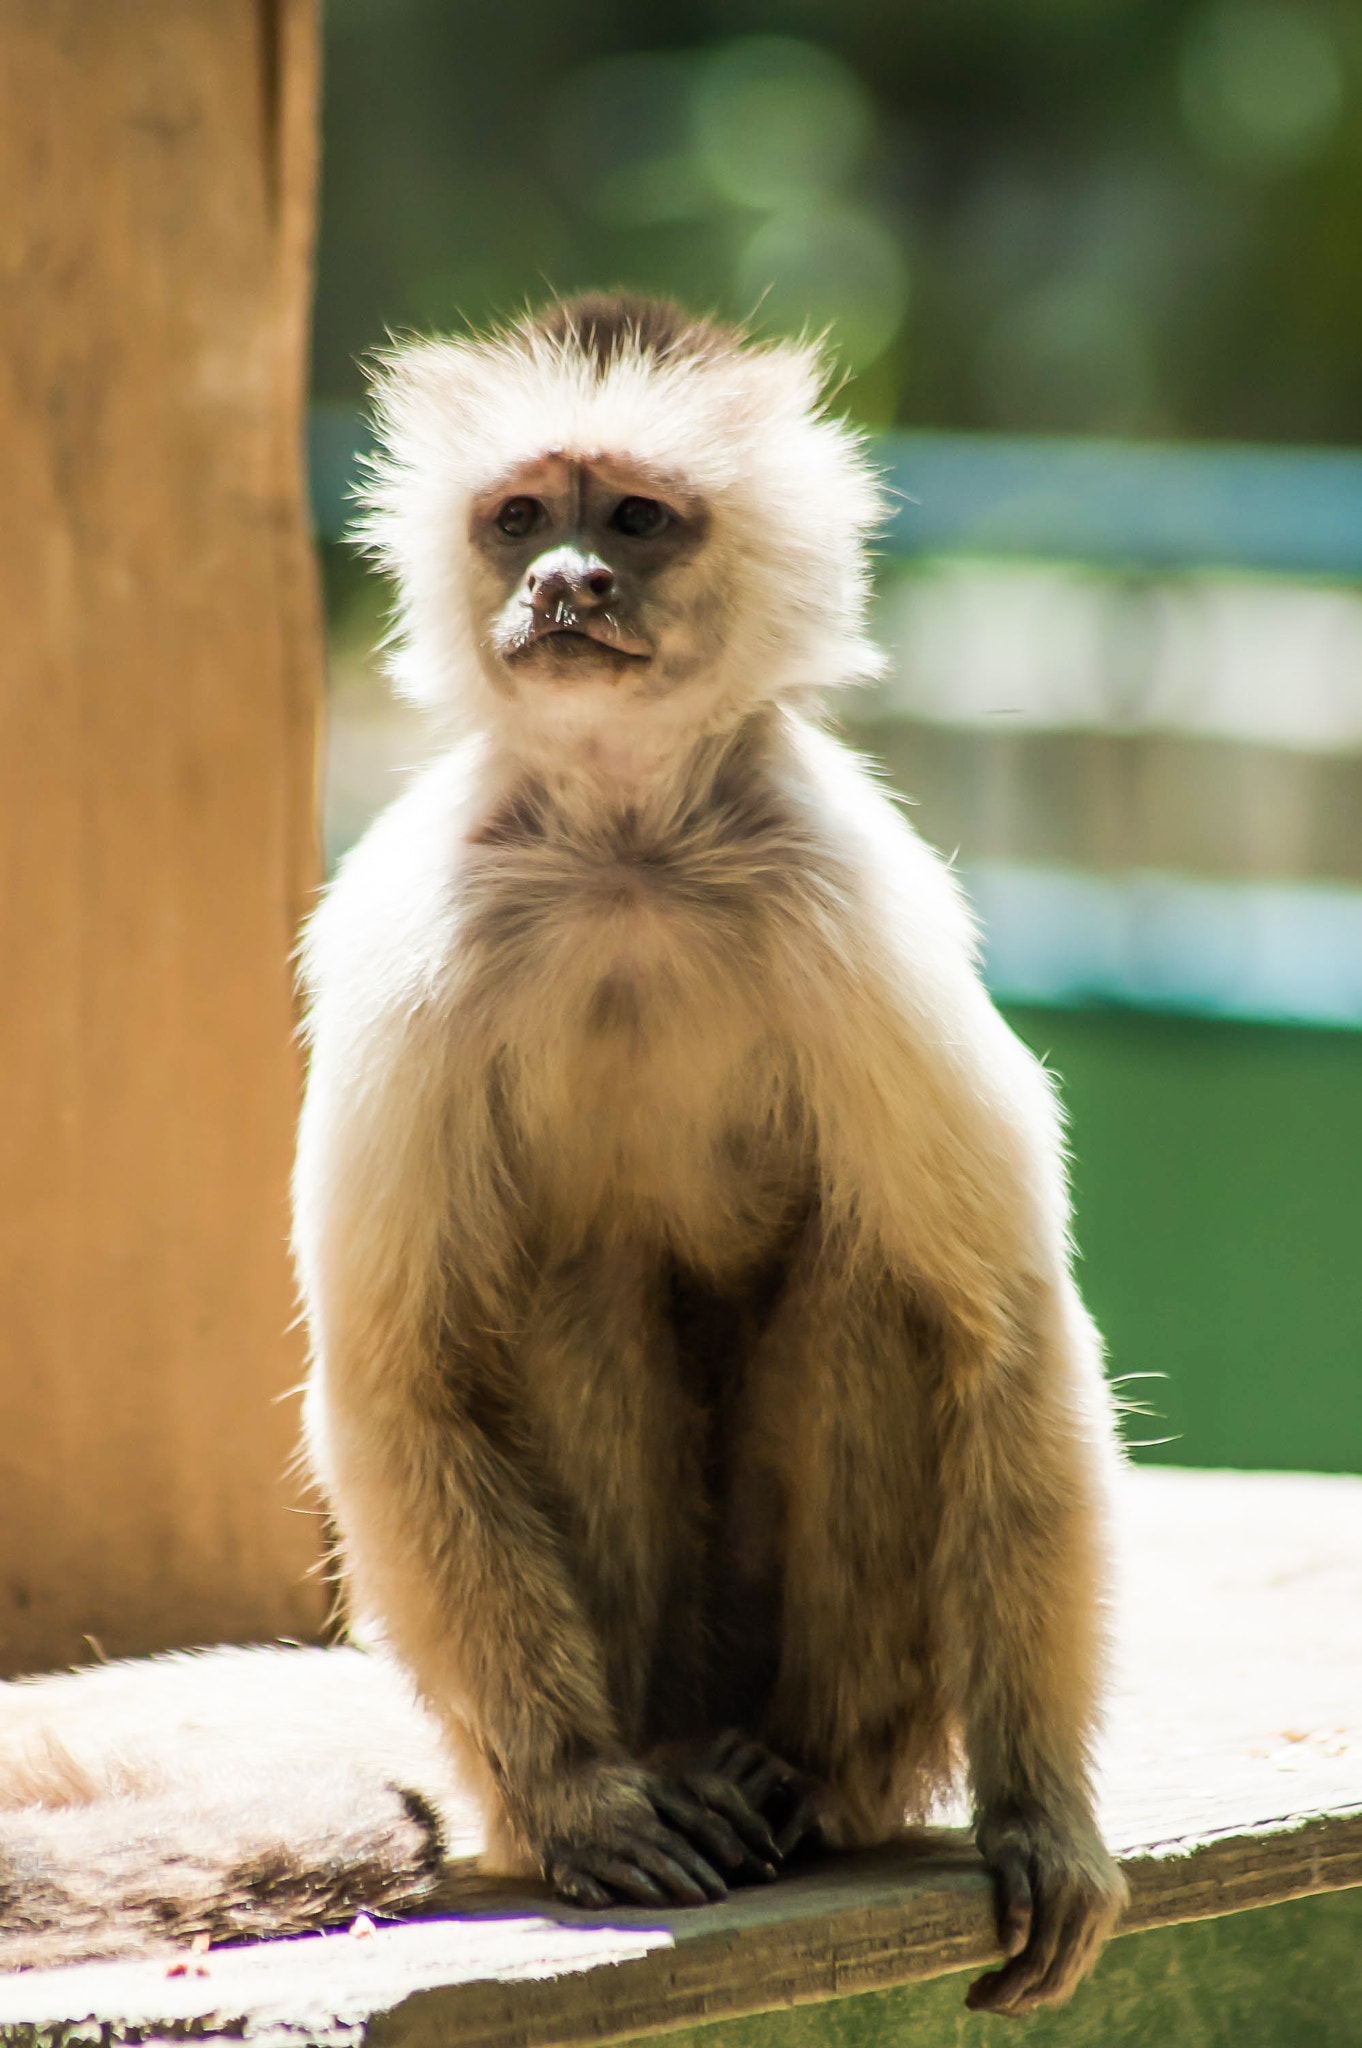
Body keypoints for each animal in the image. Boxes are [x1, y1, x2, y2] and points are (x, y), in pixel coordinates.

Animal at [285, 292, 1127, 2016]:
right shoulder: (409, 925)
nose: (561, 583)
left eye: (635, 520)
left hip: (879, 1698)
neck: (629, 850)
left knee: (875, 1293)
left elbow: (1003, 1329)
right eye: (520, 518)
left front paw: (1041, 1811)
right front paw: (581, 1799)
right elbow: (398, 1373)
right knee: (568, 1282)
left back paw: (792, 1774)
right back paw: (665, 1773)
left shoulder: (845, 890)